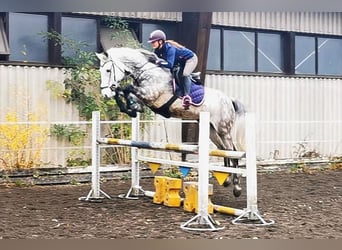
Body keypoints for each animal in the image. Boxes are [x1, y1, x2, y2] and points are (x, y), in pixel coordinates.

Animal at [95, 46, 246, 196]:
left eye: (108, 70)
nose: (105, 94)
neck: (146, 72)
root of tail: (228, 100)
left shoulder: (150, 94)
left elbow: (126, 88)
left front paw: (124, 101)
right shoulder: (144, 99)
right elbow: (126, 95)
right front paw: (129, 109)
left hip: (223, 128)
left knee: (231, 151)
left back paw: (237, 187)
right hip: (211, 129)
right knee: (223, 149)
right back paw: (226, 180)